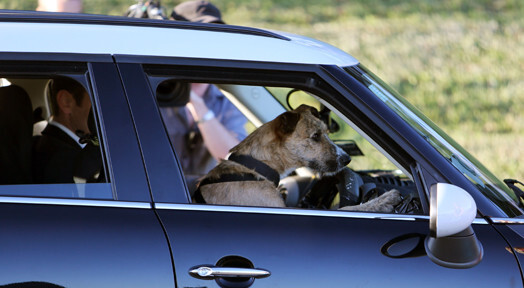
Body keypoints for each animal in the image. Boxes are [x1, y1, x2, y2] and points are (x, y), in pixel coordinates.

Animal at [194, 104, 404, 213]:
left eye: (327, 132)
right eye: (315, 136)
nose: (347, 160)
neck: (256, 167)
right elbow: (349, 209)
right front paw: (383, 200)